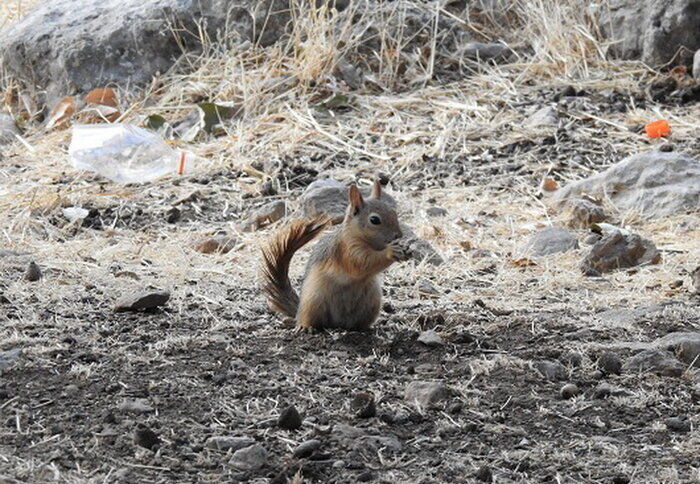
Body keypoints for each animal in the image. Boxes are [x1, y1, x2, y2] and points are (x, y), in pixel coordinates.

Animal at [262, 180, 404, 330]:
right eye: (375, 220)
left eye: (393, 212)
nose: (399, 235)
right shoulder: (346, 250)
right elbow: (363, 262)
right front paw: (390, 251)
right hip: (313, 301)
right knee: (309, 319)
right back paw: (305, 326)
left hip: (373, 301)